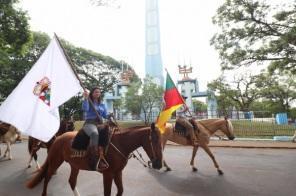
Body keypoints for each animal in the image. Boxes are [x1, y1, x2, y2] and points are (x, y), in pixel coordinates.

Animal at [26, 122, 163, 196]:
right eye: (154, 139)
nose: (159, 164)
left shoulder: (118, 173)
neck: (120, 144)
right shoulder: (108, 174)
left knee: (72, 181)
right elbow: (107, 193)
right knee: (47, 176)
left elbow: (120, 190)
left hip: (75, 165)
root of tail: (58, 138)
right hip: (55, 161)